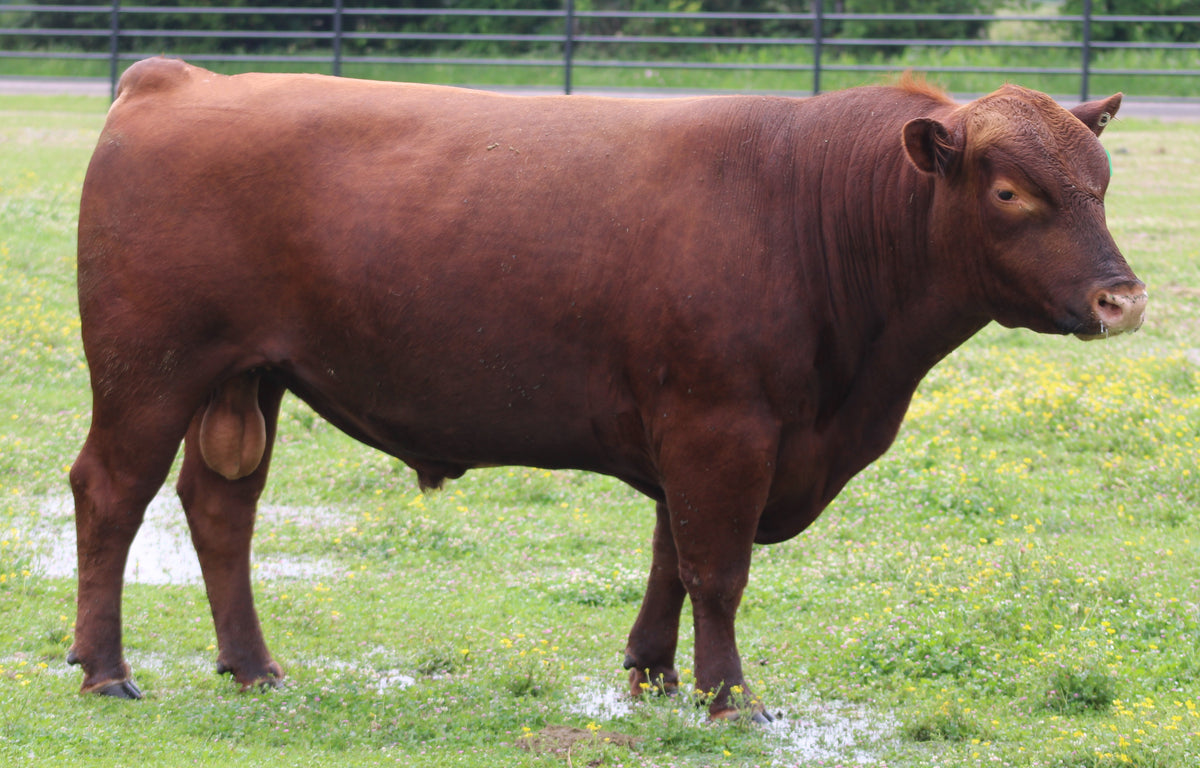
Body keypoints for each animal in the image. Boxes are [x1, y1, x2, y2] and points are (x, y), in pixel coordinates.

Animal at [68, 57, 1146, 720]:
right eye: (1011, 192)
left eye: (1099, 182)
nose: (1122, 296)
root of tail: (177, 78)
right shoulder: (724, 425)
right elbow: (717, 568)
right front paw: (731, 697)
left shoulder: (696, 429)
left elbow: (671, 554)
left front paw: (655, 673)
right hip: (147, 370)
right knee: (110, 495)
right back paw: (106, 670)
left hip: (248, 377)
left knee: (222, 507)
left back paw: (254, 667)